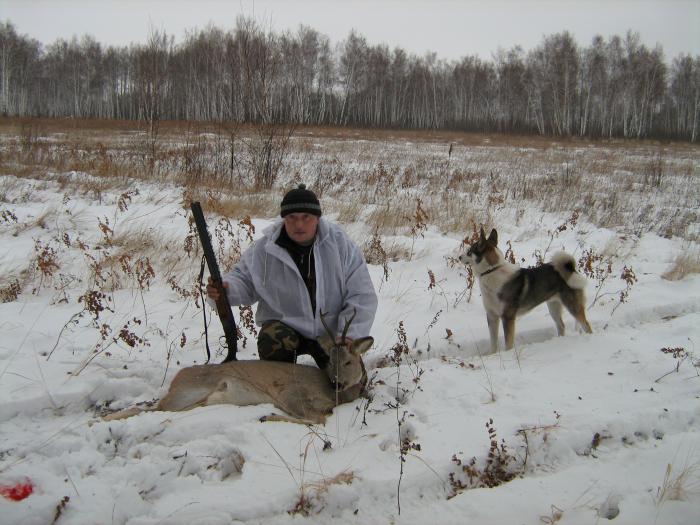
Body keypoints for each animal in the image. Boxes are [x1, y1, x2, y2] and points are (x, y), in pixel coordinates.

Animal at [102, 312, 374, 426]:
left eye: (348, 362)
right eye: (329, 360)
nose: (337, 382)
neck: (334, 396)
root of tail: (177, 378)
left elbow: (318, 417)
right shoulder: (290, 392)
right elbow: (318, 418)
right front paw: (268, 416)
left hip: (193, 400)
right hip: (189, 392)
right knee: (151, 407)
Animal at [462, 226, 592, 352]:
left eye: (469, 251)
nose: (459, 257)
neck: (492, 270)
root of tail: (571, 269)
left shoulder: (507, 317)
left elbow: (508, 343)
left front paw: (508, 354)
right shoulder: (491, 316)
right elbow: (493, 343)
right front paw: (492, 355)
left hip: (573, 306)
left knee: (586, 325)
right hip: (553, 307)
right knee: (561, 326)